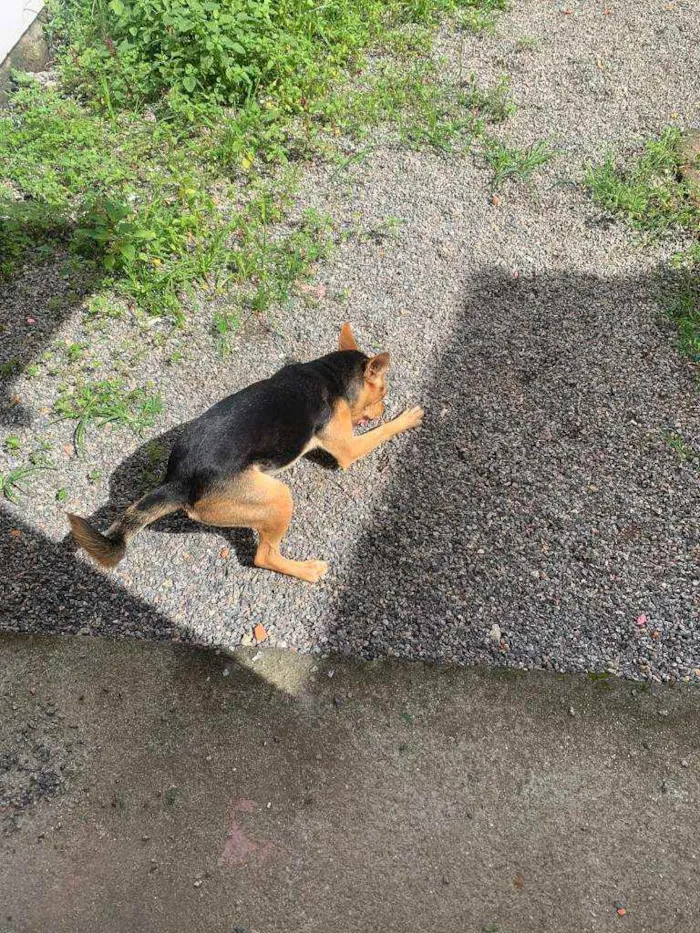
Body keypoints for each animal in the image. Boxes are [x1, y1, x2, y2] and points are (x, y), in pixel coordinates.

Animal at [68, 324, 424, 580]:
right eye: (384, 392)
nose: (382, 407)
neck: (328, 374)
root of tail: (179, 480)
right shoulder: (349, 448)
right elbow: (382, 431)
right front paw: (406, 417)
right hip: (278, 497)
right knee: (264, 556)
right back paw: (306, 570)